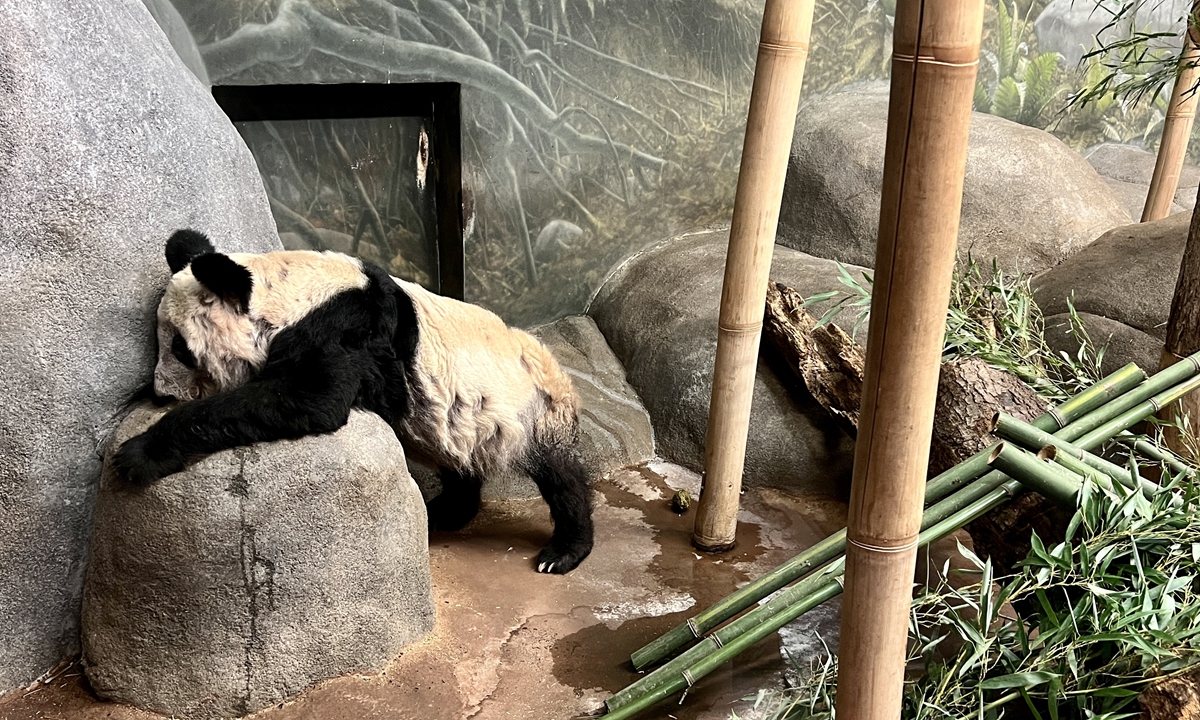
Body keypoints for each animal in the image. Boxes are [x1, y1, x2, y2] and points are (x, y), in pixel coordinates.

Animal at [114, 229, 592, 573]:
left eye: (180, 348)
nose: (161, 391)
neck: (289, 291)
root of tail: (558, 370)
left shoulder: (344, 329)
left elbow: (310, 399)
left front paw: (137, 455)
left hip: (532, 408)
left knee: (562, 477)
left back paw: (563, 551)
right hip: (461, 419)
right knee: (459, 460)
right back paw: (445, 512)